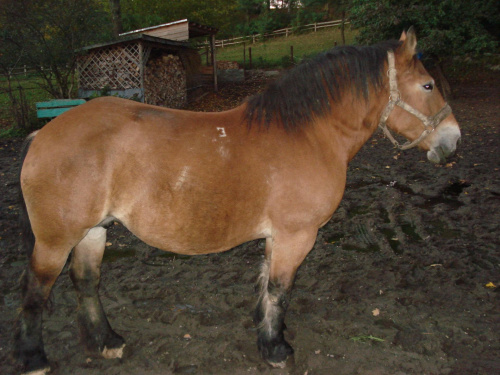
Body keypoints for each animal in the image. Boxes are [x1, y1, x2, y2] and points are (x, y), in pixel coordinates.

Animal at [15, 27, 460, 374]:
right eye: (427, 85)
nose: (453, 140)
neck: (307, 133)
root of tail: (44, 134)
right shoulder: (297, 236)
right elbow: (280, 290)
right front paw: (277, 350)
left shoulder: (277, 237)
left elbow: (266, 287)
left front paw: (266, 337)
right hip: (56, 239)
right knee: (36, 290)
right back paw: (34, 359)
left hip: (92, 231)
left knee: (86, 281)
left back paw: (106, 342)